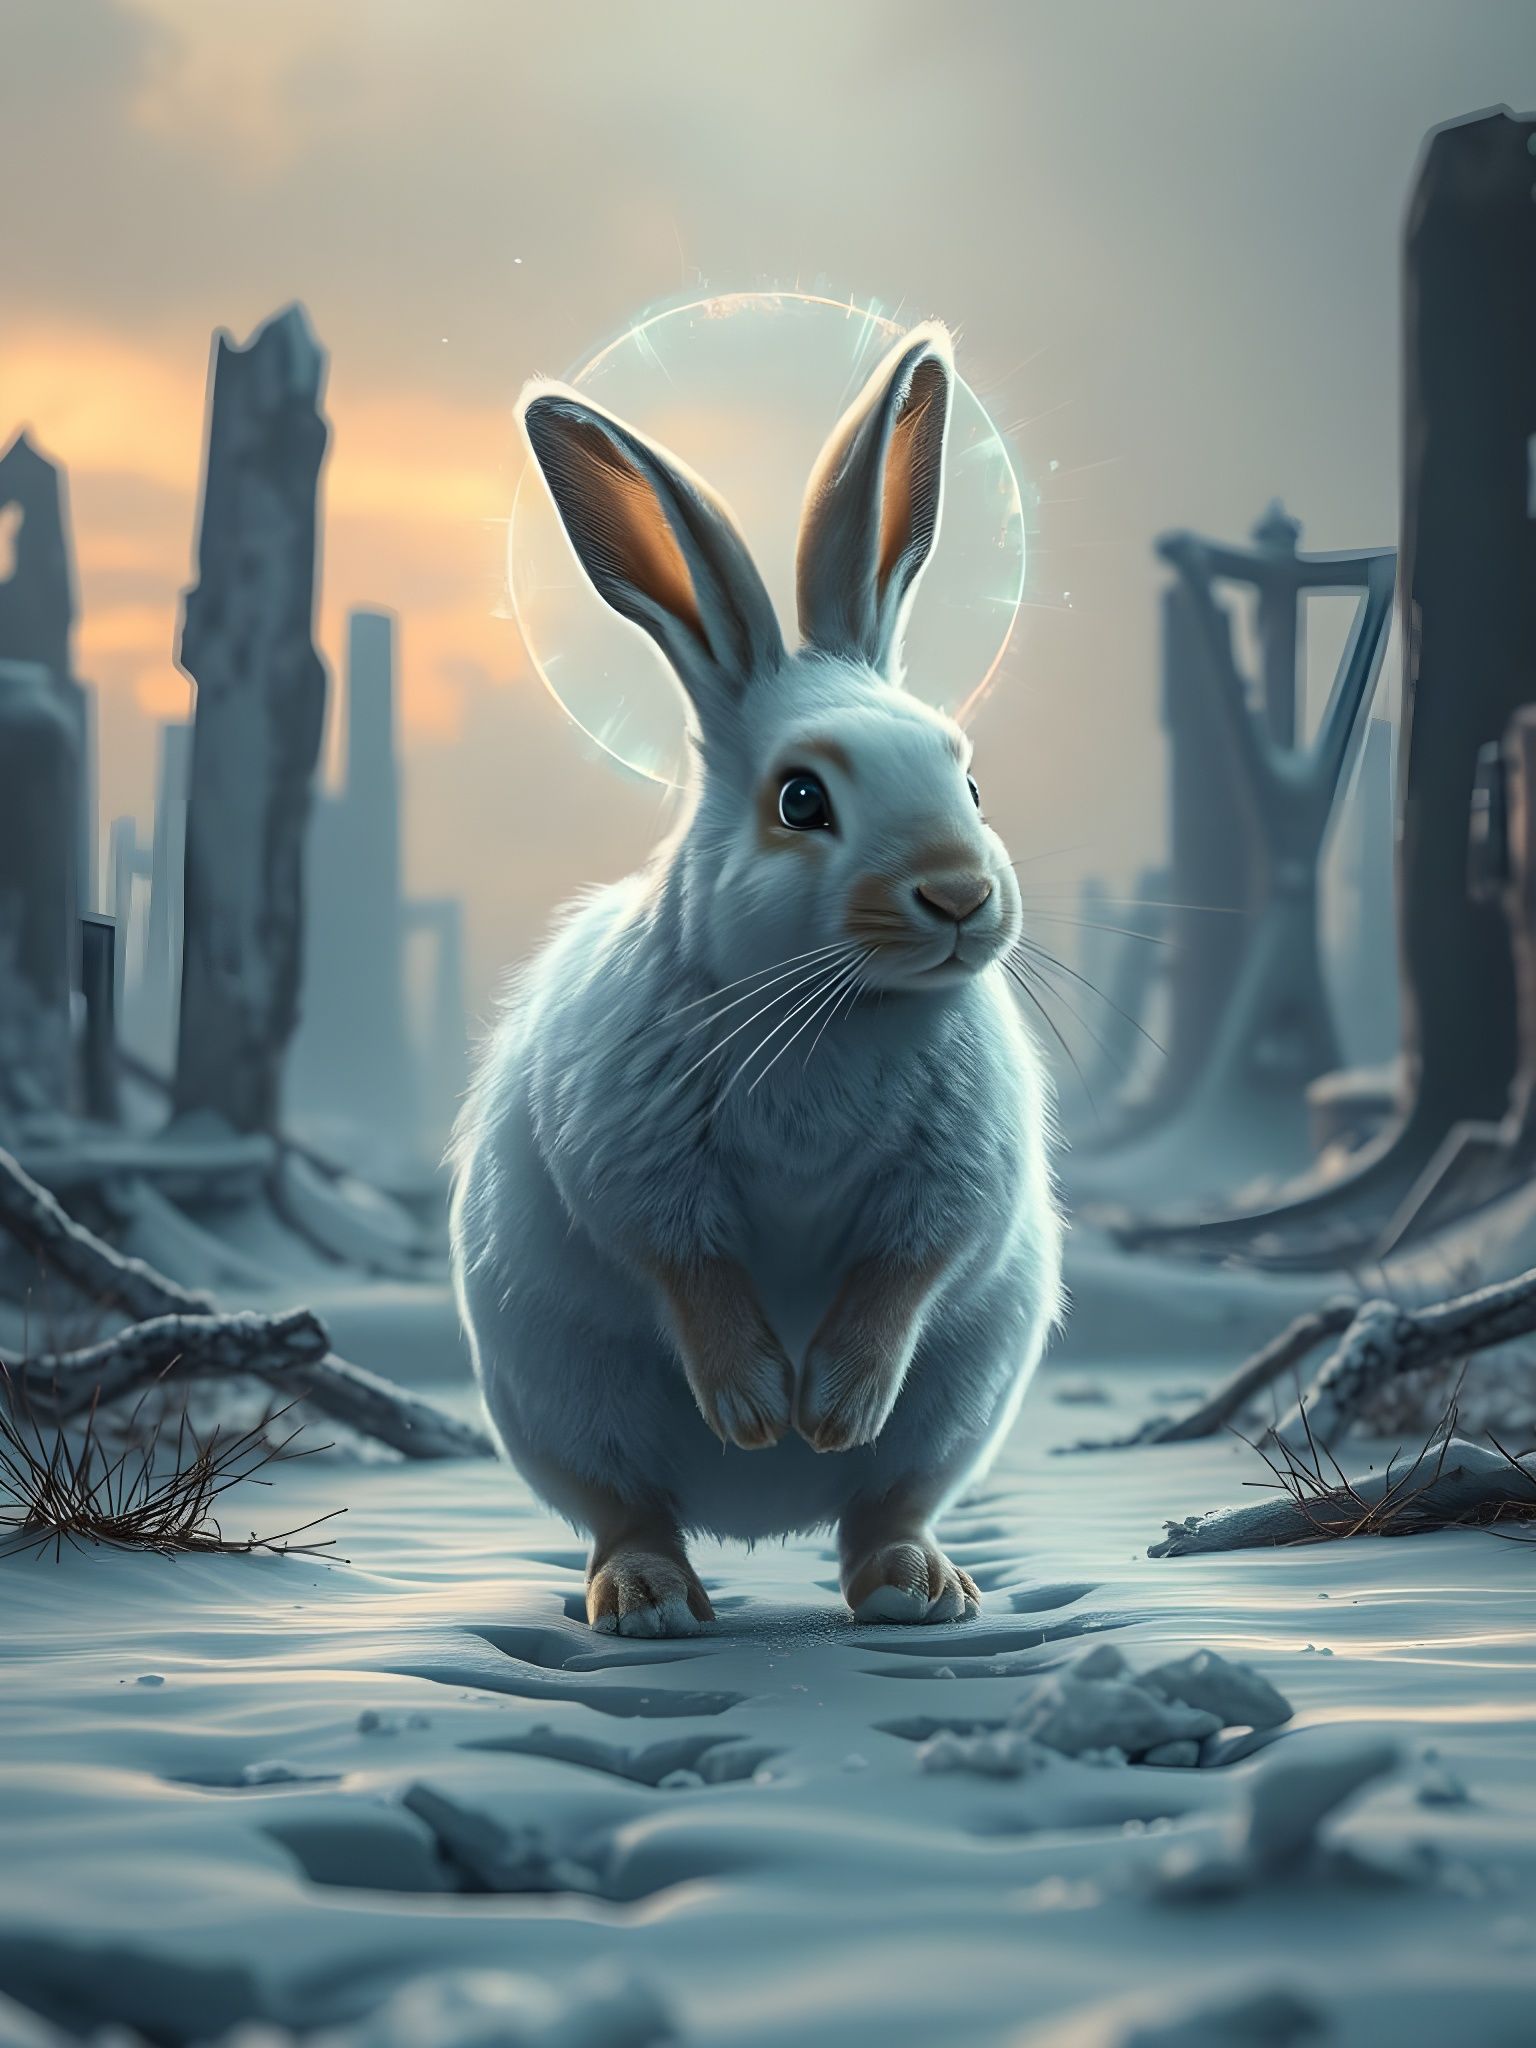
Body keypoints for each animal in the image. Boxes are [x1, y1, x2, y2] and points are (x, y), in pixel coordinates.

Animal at [451, 321, 1063, 1636]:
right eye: (801, 799)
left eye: (968, 780)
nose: (959, 895)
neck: (831, 1001)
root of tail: (758, 1524)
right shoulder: (632, 1150)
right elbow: (688, 1264)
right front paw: (752, 1404)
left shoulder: (954, 1173)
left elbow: (904, 1272)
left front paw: (828, 1408)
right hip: (565, 1402)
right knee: (628, 1507)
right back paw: (653, 1595)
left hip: (958, 1408)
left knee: (884, 1505)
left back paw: (915, 1583)